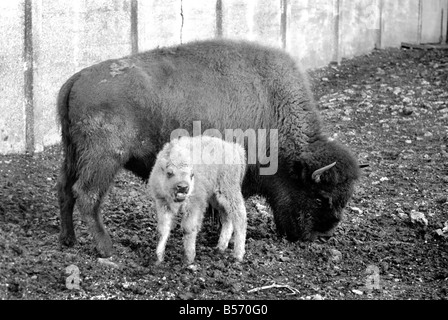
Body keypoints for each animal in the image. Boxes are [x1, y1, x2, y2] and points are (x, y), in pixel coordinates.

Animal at [148, 136, 247, 264]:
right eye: (169, 173)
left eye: (192, 174)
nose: (183, 187)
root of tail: (234, 148)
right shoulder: (162, 204)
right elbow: (163, 229)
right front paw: (158, 258)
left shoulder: (194, 206)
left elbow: (188, 228)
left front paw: (188, 259)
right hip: (216, 198)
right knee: (227, 218)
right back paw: (220, 248)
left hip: (229, 192)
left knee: (240, 217)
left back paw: (238, 256)